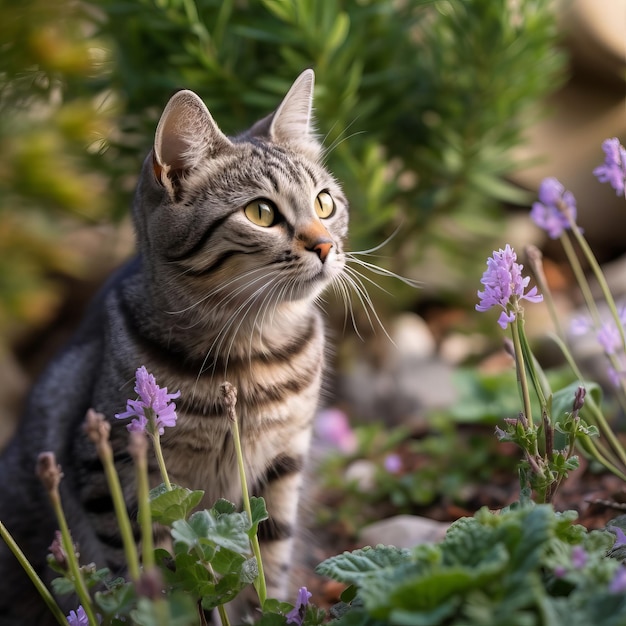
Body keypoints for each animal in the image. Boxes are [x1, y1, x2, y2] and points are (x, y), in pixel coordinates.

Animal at [0, 69, 346, 624]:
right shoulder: (115, 472)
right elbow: (151, 568)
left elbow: (267, 558)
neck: (252, 350)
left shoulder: (283, 463)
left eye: (324, 202)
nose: (326, 245)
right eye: (262, 212)